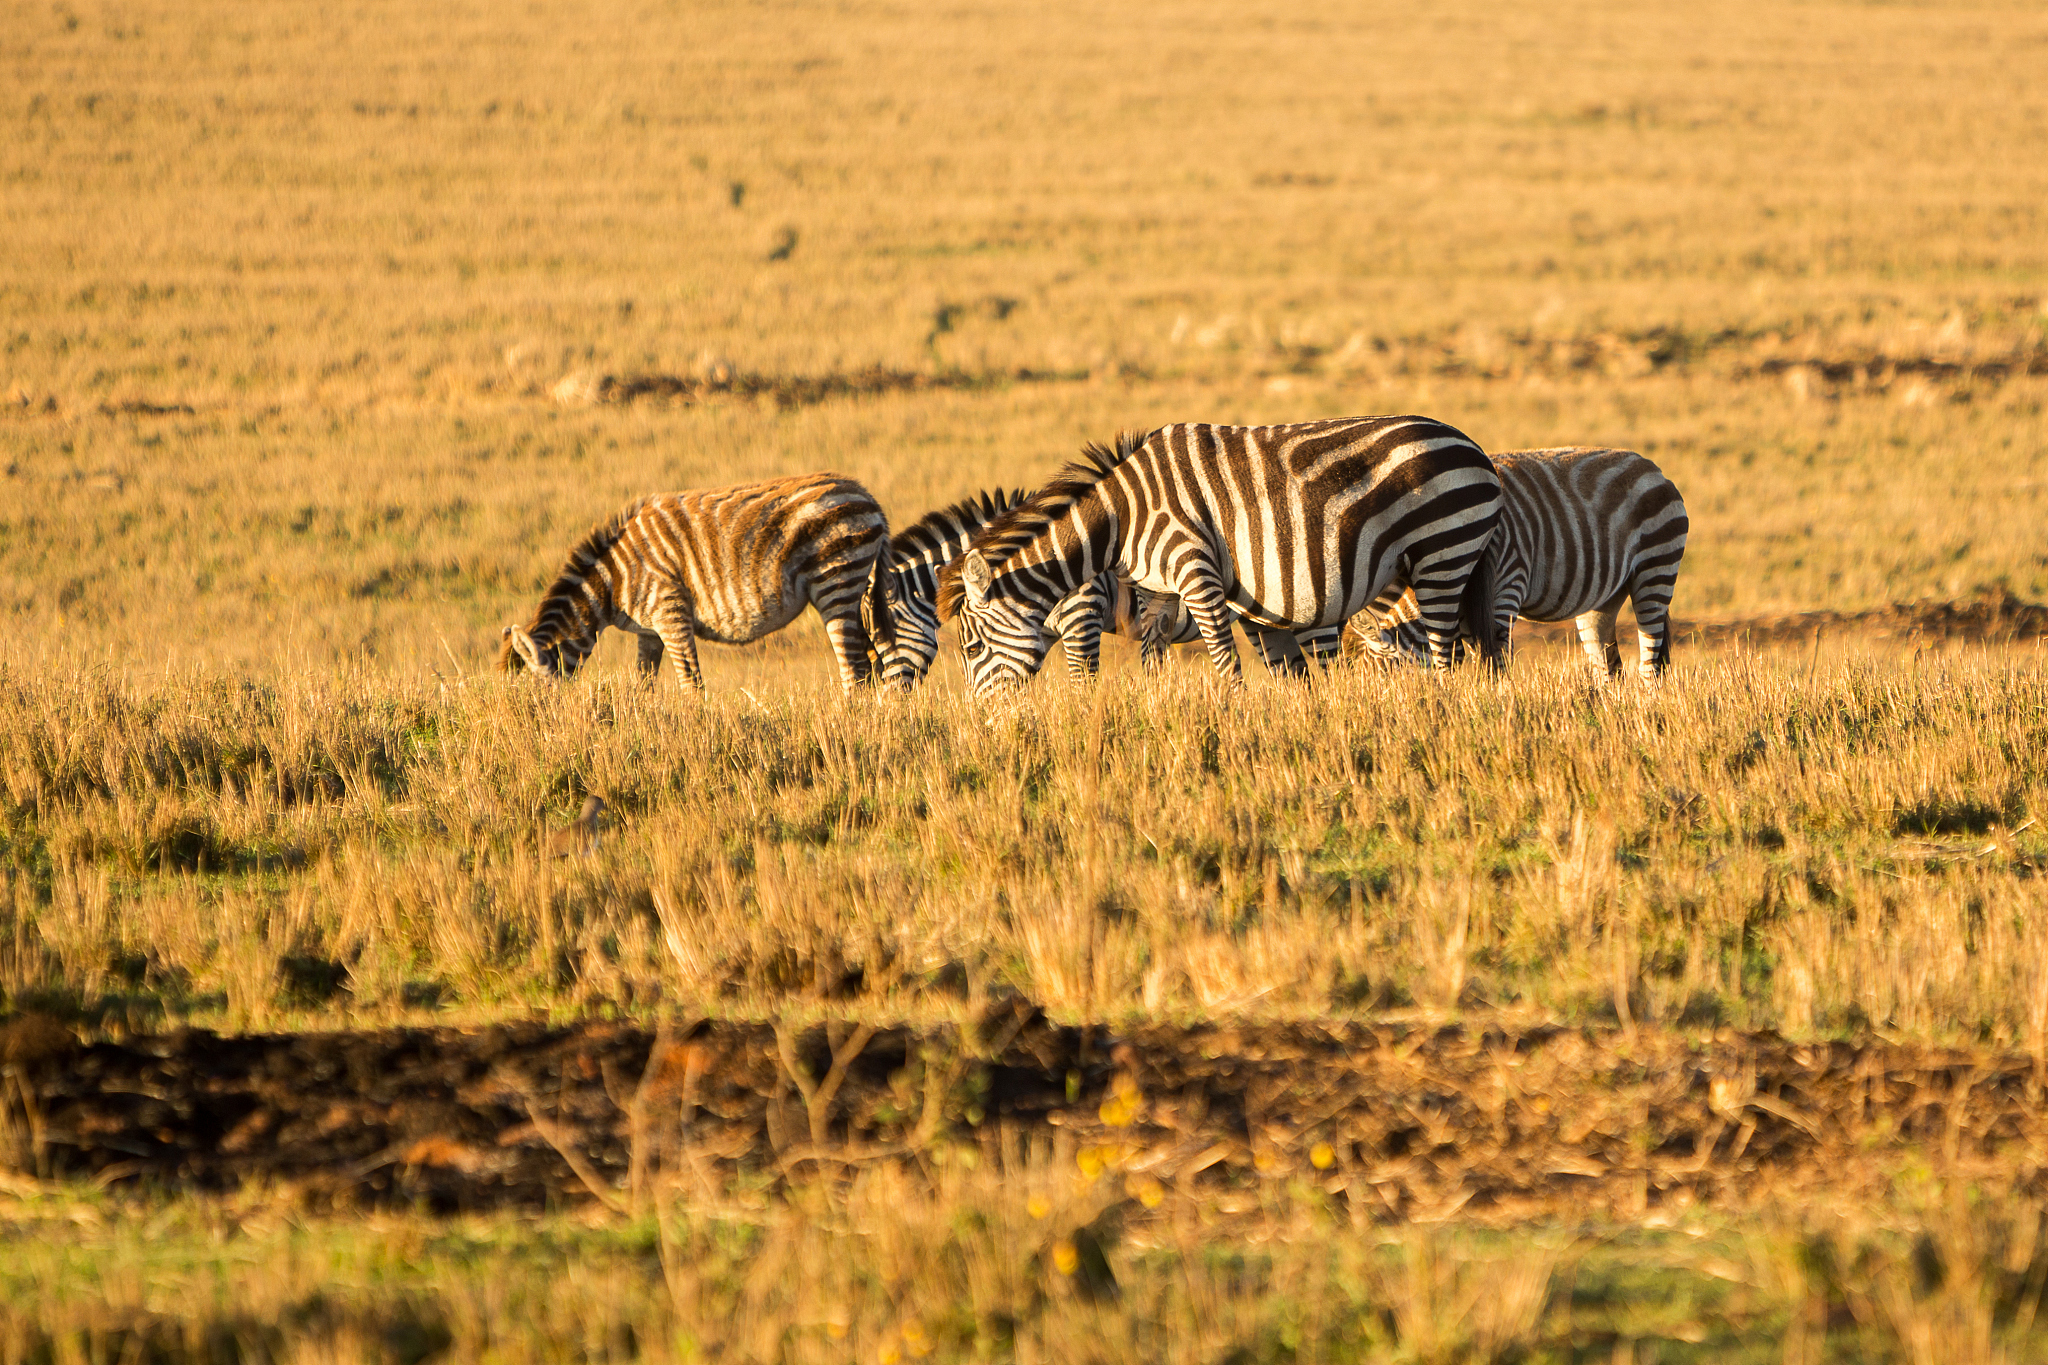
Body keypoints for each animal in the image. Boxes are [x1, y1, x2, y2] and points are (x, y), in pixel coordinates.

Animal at [498, 472, 894, 694]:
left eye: (529, 695)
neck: (614, 582)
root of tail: (867, 496)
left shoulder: (671, 613)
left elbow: (691, 684)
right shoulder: (649, 631)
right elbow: (642, 687)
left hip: (836, 583)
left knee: (855, 671)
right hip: (854, 590)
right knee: (873, 665)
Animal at [936, 416, 1504, 696]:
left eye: (971, 648)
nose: (986, 725)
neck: (1122, 519)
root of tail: (1473, 445)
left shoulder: (1196, 573)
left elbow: (1225, 665)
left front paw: (1233, 725)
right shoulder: (1158, 593)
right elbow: (1153, 659)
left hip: (1444, 552)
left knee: (1444, 655)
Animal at [1343, 447, 1688, 678]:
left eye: (1384, 677)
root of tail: (1650, 466)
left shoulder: (1506, 585)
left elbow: (1495, 659)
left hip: (1655, 568)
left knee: (1650, 661)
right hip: (1604, 597)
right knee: (1608, 666)